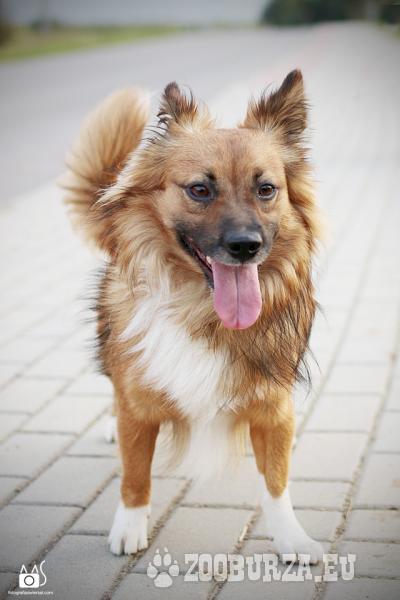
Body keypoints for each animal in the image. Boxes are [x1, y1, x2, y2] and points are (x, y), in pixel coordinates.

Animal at [63, 69, 324, 563]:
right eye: (200, 190)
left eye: (266, 189)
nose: (246, 246)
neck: (200, 310)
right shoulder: (139, 405)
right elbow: (134, 474)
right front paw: (129, 526)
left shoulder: (273, 407)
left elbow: (276, 481)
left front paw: (291, 537)